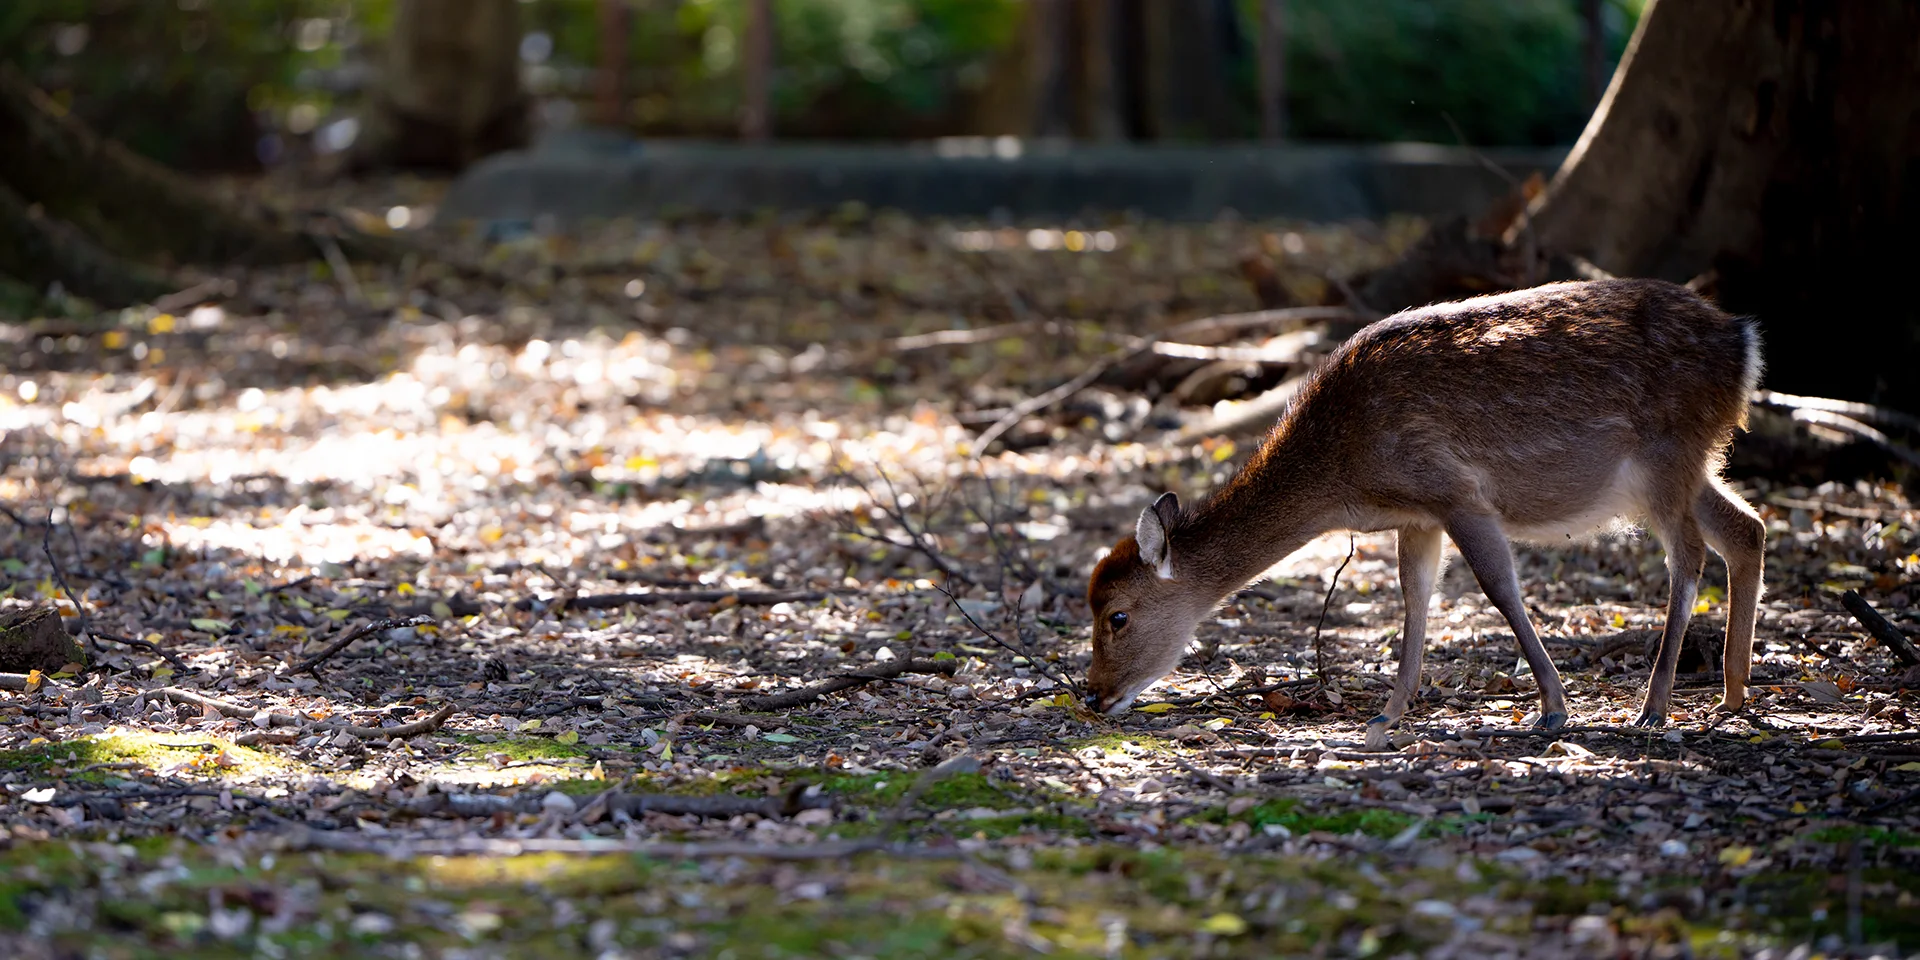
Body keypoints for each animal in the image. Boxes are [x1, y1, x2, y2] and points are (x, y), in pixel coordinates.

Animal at [1090, 276, 1758, 741]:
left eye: (1117, 615)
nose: (1095, 695)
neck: (1344, 476)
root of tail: (1746, 345)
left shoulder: (1453, 490)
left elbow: (1497, 587)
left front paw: (1552, 710)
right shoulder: (1417, 516)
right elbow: (1415, 594)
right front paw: (1388, 717)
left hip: (1665, 455)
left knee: (1689, 554)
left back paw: (1654, 707)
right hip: (1686, 464)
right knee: (1745, 527)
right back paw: (1732, 694)